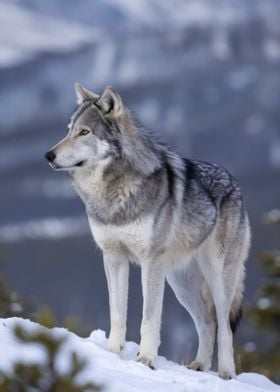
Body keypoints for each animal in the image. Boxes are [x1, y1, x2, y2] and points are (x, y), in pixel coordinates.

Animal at [44, 83, 250, 380]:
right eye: (69, 130)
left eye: (85, 132)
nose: (48, 155)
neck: (113, 192)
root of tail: (234, 181)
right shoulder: (113, 256)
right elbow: (117, 313)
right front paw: (111, 354)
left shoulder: (150, 261)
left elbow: (149, 318)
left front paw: (146, 360)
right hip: (180, 284)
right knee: (206, 322)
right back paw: (199, 365)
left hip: (218, 278)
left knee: (223, 325)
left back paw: (226, 373)